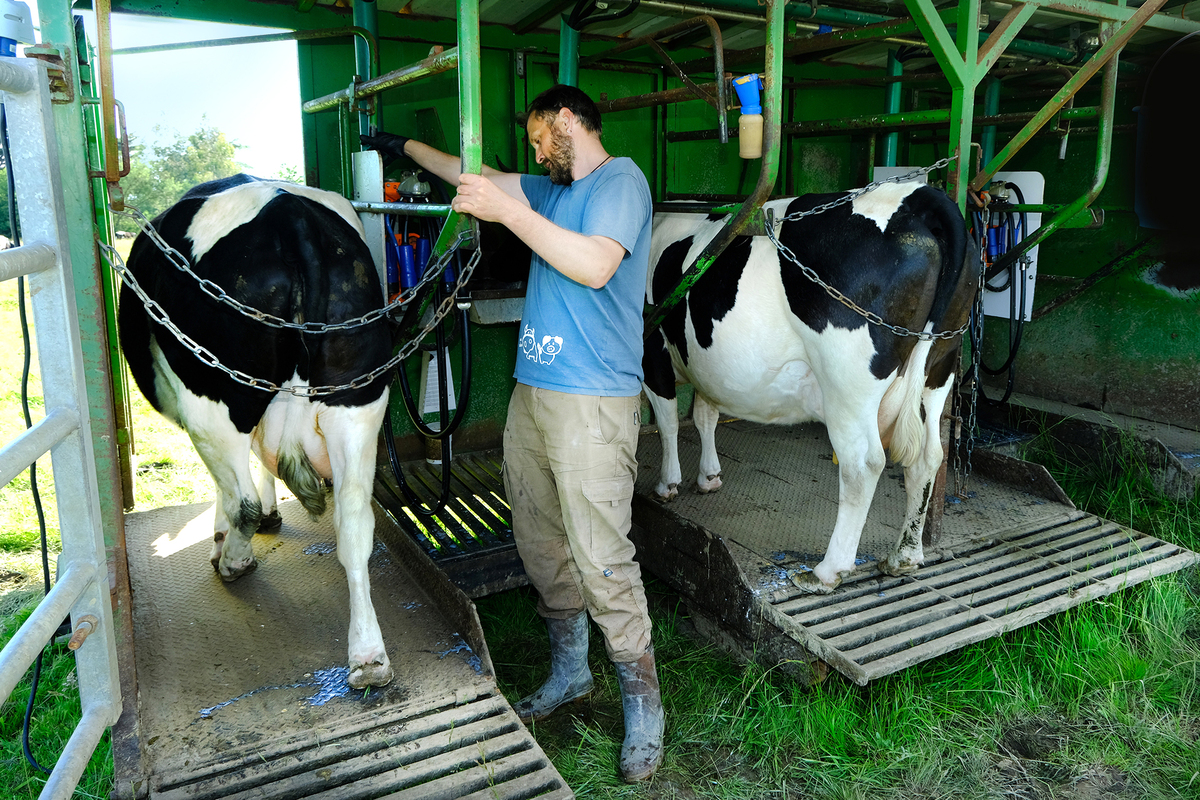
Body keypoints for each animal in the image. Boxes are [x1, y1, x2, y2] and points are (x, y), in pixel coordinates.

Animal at [120, 175, 396, 690]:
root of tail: (291, 218)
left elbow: (234, 487)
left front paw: (225, 534)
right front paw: (271, 512)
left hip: (214, 397)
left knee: (242, 500)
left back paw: (234, 560)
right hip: (358, 400)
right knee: (354, 522)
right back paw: (369, 657)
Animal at [648, 181, 974, 594]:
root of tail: (917, 194)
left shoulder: (650, 354)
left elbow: (668, 422)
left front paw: (667, 484)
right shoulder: (707, 367)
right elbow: (706, 414)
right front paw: (709, 476)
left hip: (846, 378)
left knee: (863, 463)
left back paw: (826, 571)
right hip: (941, 363)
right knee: (929, 455)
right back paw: (905, 555)